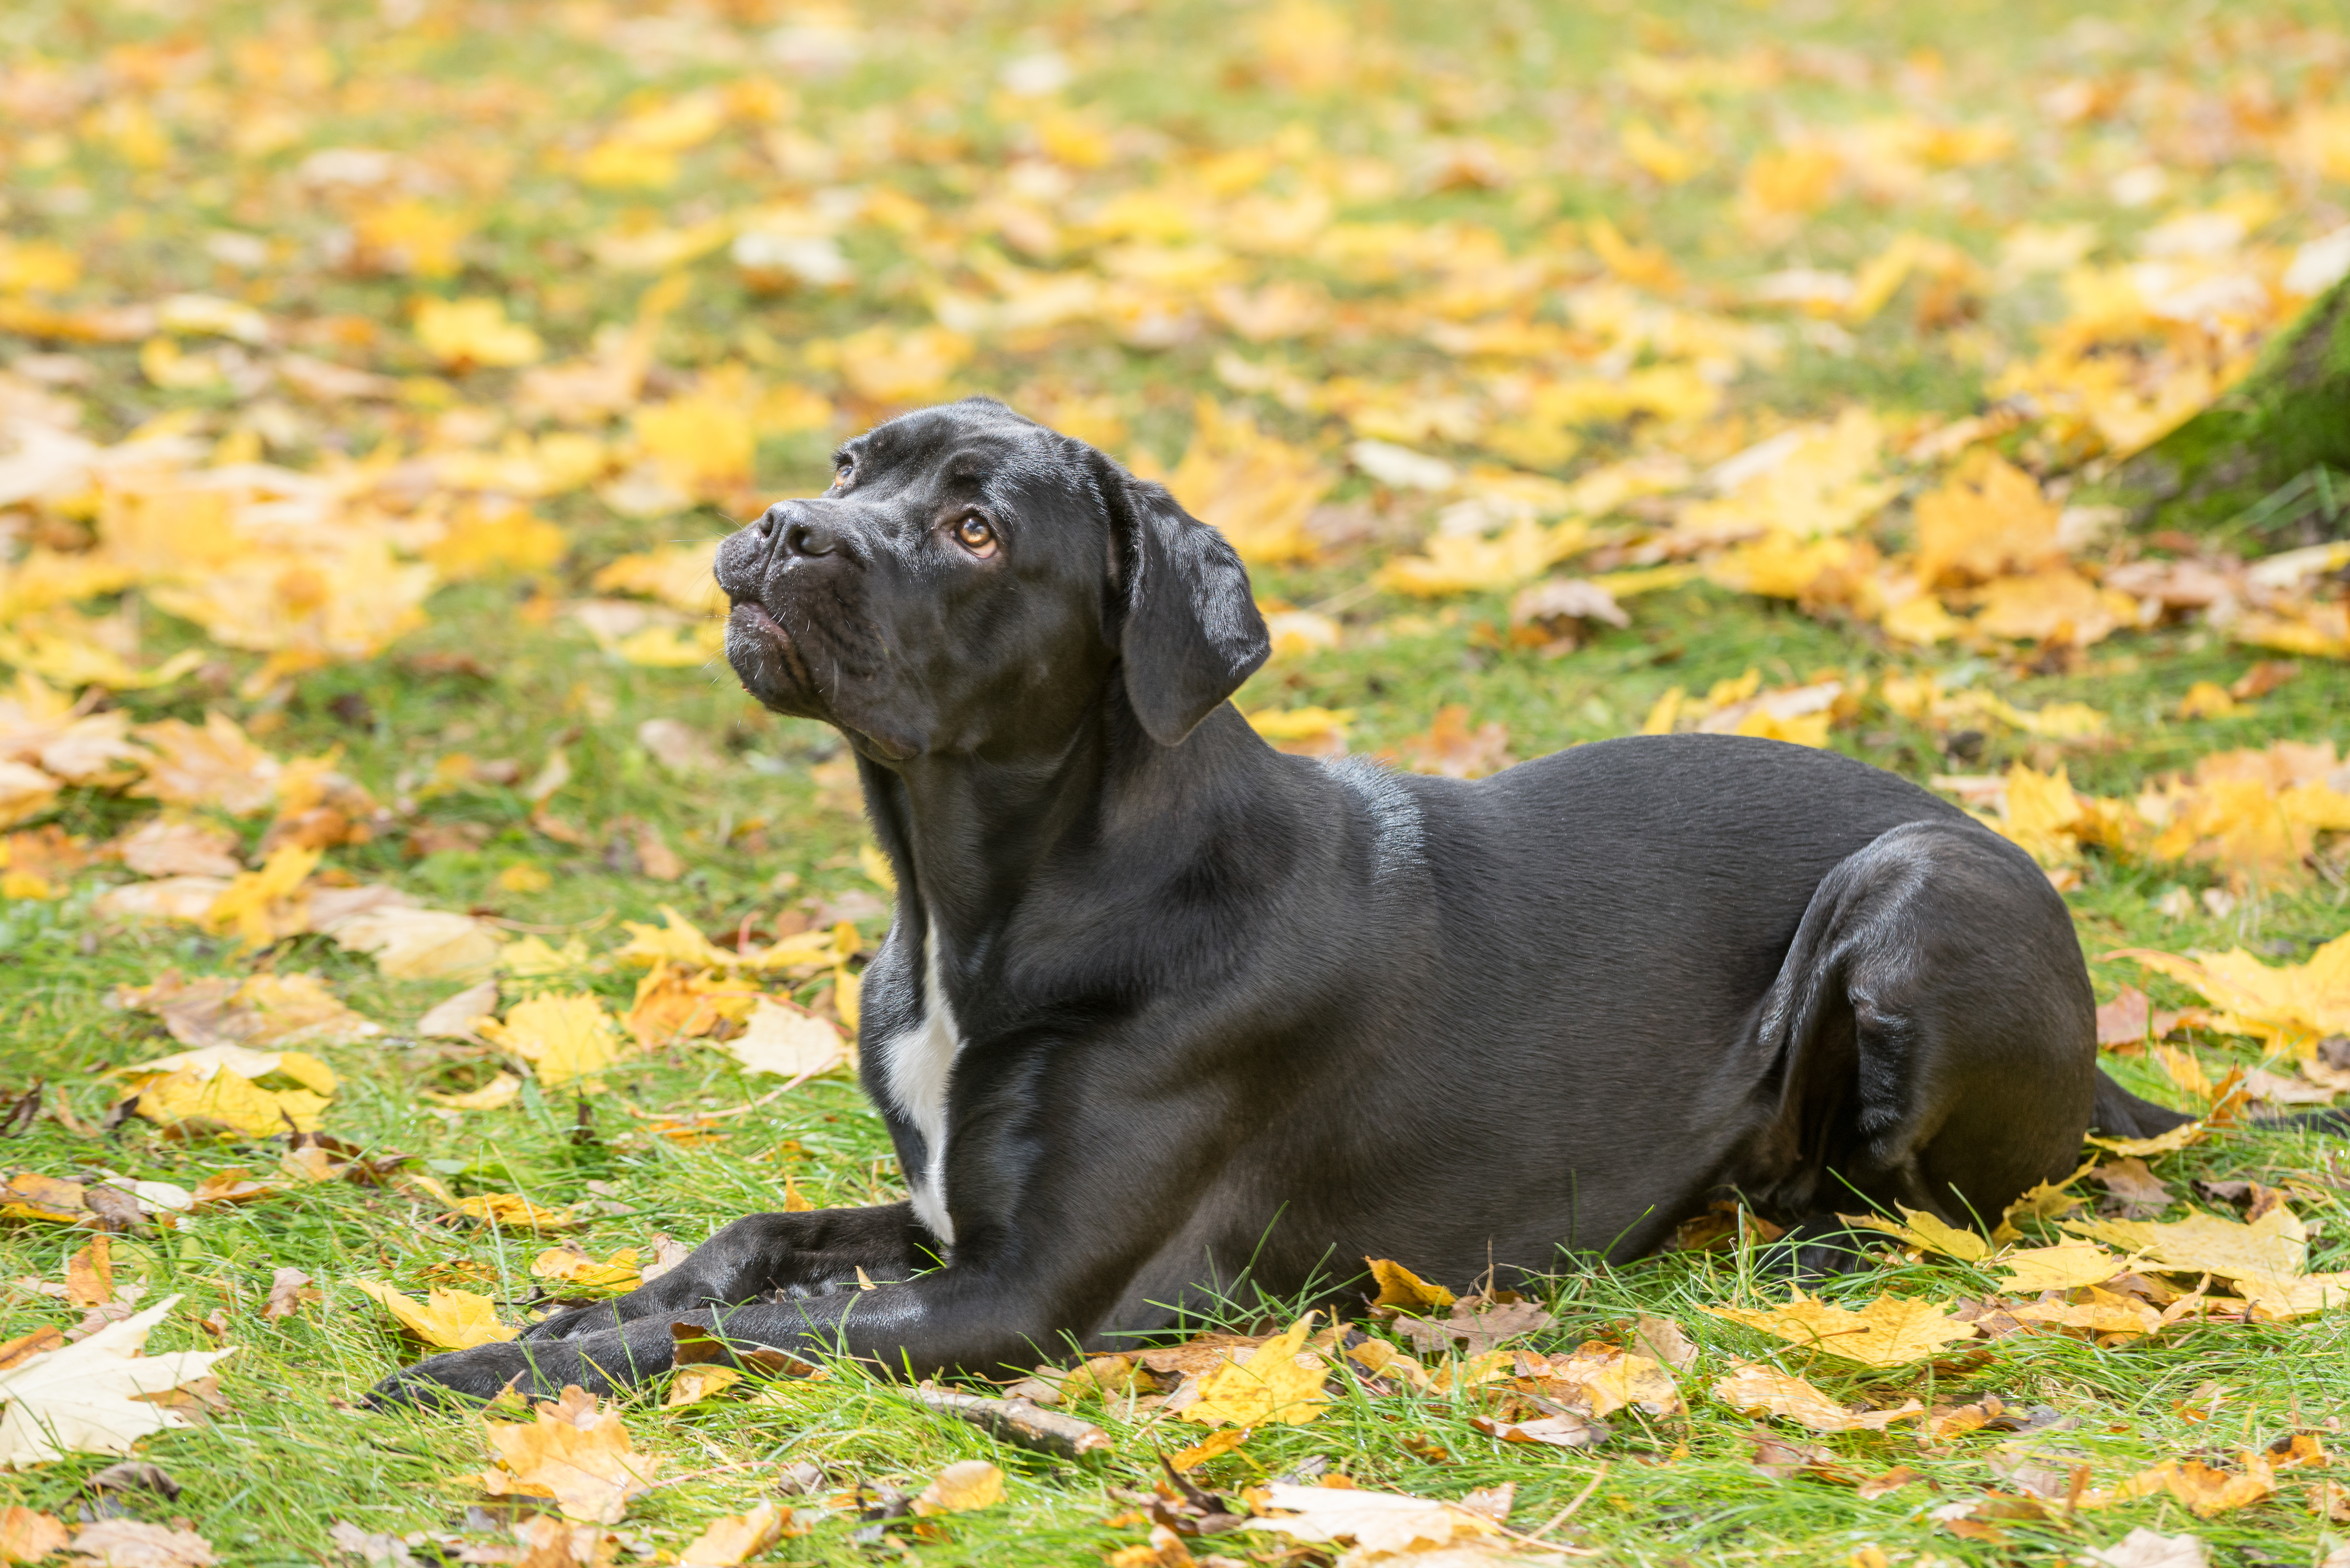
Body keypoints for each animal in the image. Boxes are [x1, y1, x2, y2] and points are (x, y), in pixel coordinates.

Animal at [376, 399, 2209, 1401]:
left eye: (974, 531)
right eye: (851, 458)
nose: (782, 526)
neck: (979, 903)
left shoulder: (1018, 1294)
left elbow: (733, 1335)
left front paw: (482, 1365)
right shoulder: (948, 1212)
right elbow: (738, 1257)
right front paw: (581, 1300)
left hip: (1909, 895)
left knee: (1938, 1199)